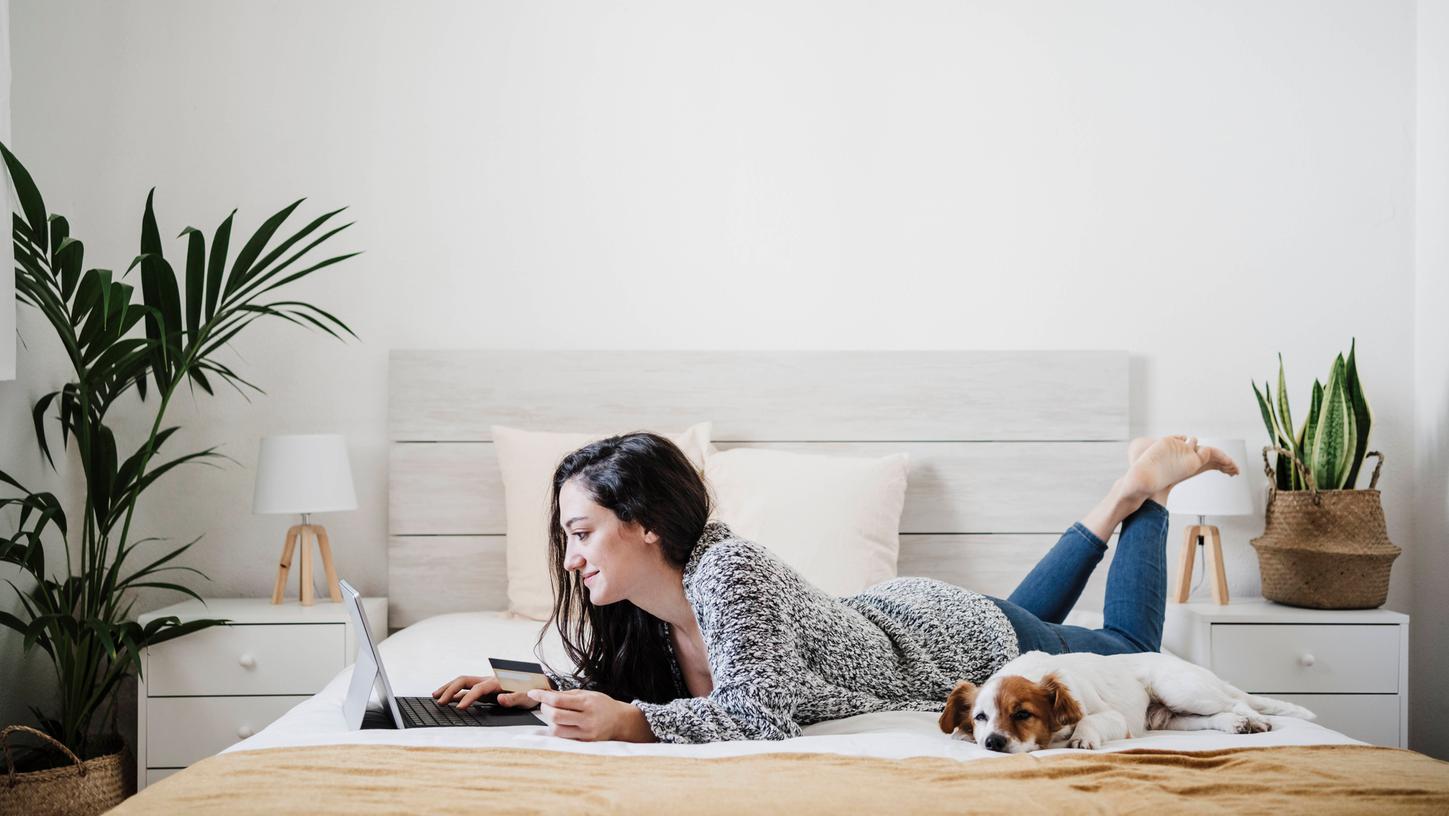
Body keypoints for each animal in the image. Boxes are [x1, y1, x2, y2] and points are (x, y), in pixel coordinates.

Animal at [933, 652, 1321, 753]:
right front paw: (963, 734)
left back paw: (1255, 720)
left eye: (1022, 714)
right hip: (1174, 718)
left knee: (1237, 703)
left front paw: (1082, 738)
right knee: (1217, 717)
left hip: (1180, 690)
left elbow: (1090, 721)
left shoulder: (1115, 719)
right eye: (980, 717)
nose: (992, 743)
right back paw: (1237, 725)